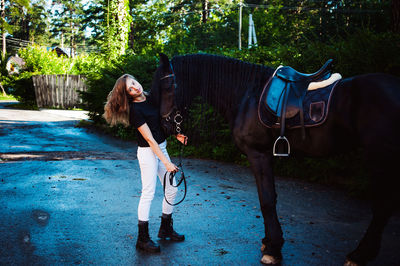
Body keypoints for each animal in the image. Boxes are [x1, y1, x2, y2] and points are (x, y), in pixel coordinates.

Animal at [151, 53, 400, 264]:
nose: (164, 125)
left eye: (167, 86)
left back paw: (359, 255)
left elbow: (267, 200)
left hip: (380, 158)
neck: (246, 95)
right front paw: (269, 242)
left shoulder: (258, 155)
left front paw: (273, 249)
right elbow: (269, 199)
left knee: (383, 207)